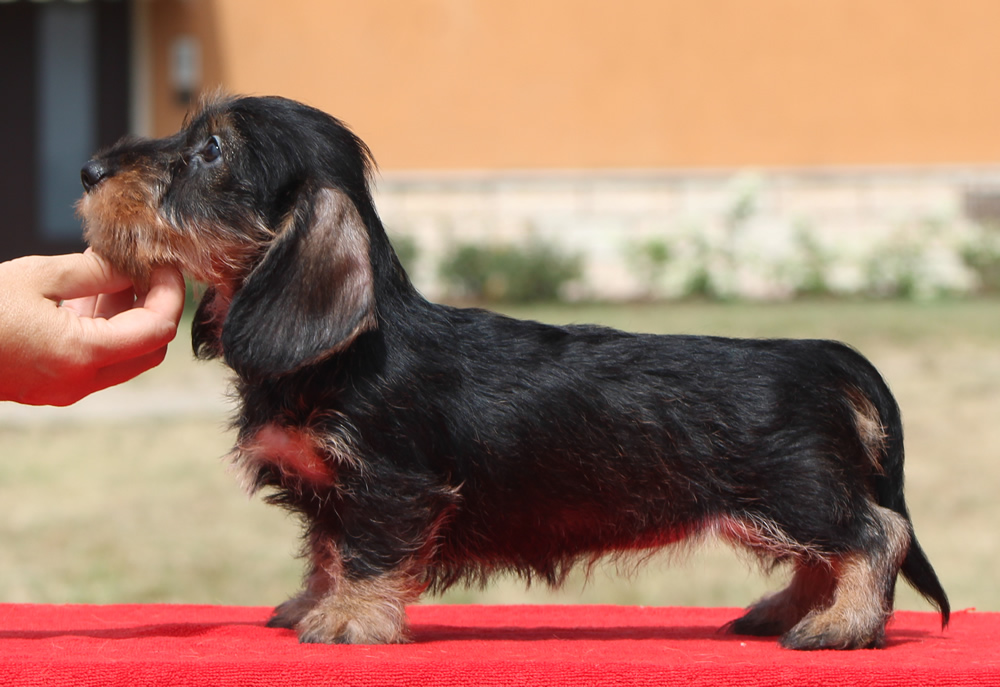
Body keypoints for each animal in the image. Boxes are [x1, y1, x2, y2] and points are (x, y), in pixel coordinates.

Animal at [78, 95, 944, 652]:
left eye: (211, 152)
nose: (87, 170)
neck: (338, 354)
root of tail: (821, 354)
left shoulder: (393, 484)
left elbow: (364, 552)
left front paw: (350, 619)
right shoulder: (330, 491)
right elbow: (325, 549)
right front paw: (312, 603)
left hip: (797, 490)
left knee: (875, 533)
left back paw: (840, 624)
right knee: (822, 555)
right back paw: (786, 609)